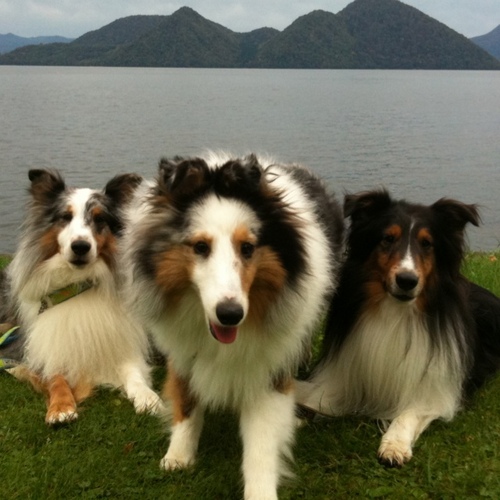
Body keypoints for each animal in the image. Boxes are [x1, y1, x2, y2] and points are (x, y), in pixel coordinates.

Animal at [0, 170, 160, 424]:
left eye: (99, 219)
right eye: (65, 217)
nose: (80, 246)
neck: (77, 284)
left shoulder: (122, 342)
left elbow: (133, 371)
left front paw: (147, 397)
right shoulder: (41, 348)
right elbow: (56, 377)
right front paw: (61, 407)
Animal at [121, 153, 344, 500]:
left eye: (248, 248)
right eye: (200, 247)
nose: (230, 314)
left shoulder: (269, 369)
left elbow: (261, 443)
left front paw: (261, 492)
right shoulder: (184, 352)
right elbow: (186, 401)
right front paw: (179, 455)